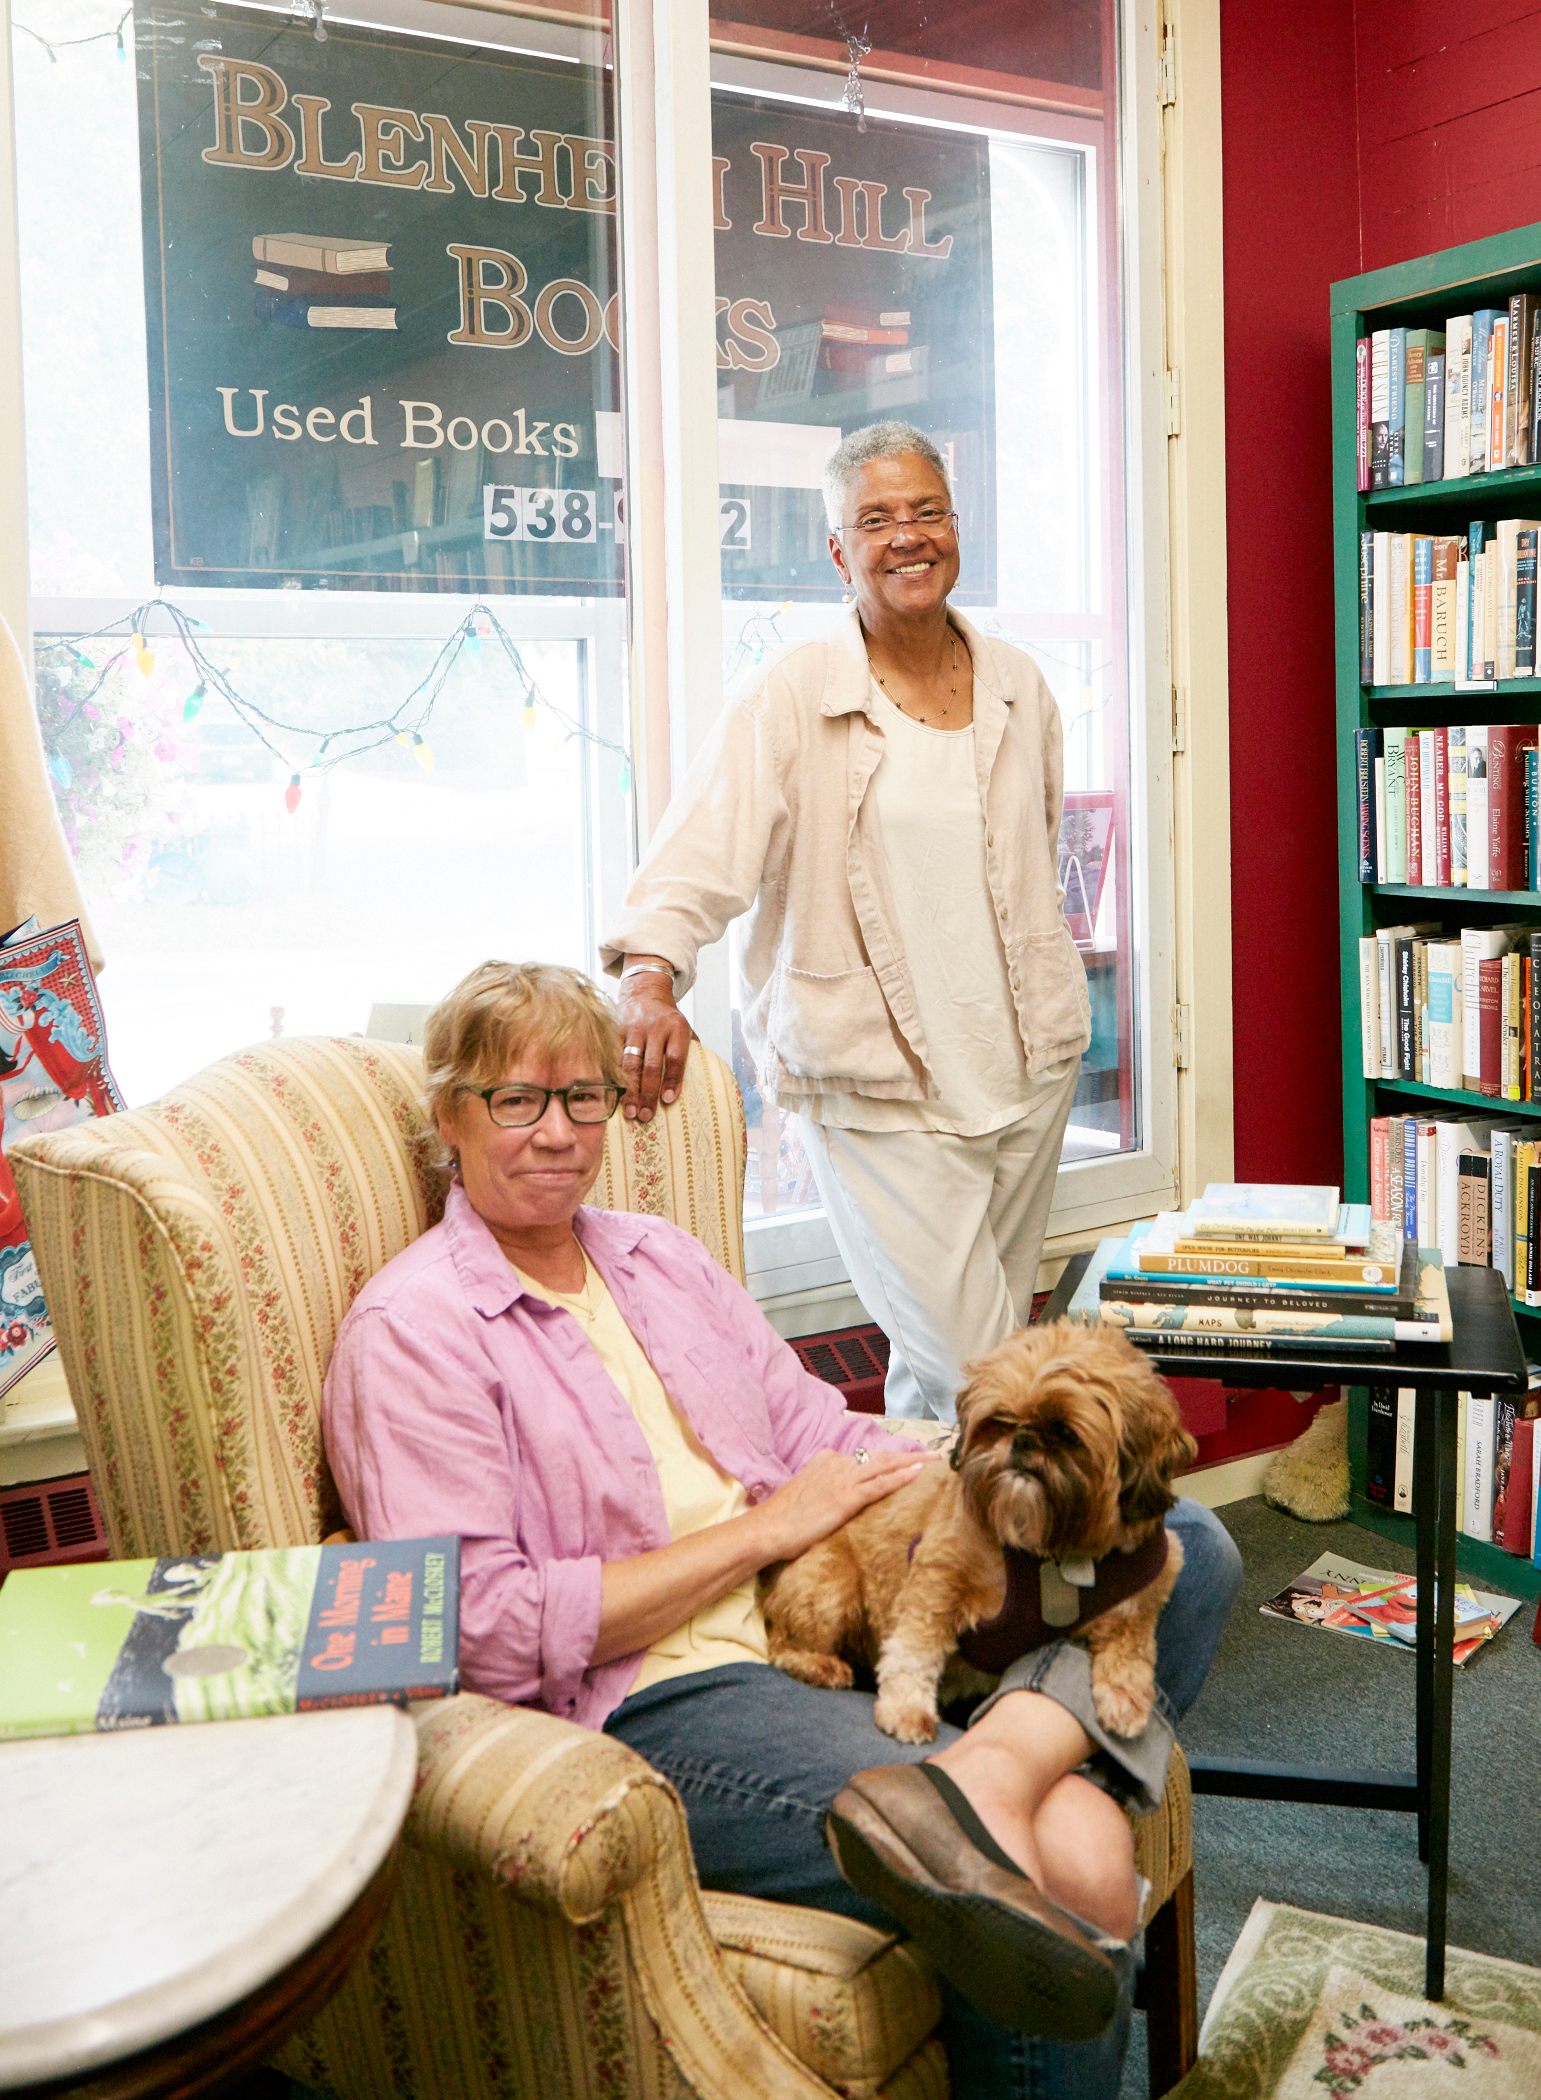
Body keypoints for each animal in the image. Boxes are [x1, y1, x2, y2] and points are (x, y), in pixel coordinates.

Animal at [768, 1327, 1200, 1738]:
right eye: (1000, 1422)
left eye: (1066, 1434)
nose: (1022, 1440)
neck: (1050, 1553)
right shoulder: (937, 1579)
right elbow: (915, 1650)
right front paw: (906, 1709)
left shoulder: (1147, 1590)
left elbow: (1131, 1650)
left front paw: (1126, 1698)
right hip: (833, 1587)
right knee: (778, 1645)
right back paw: (820, 1665)